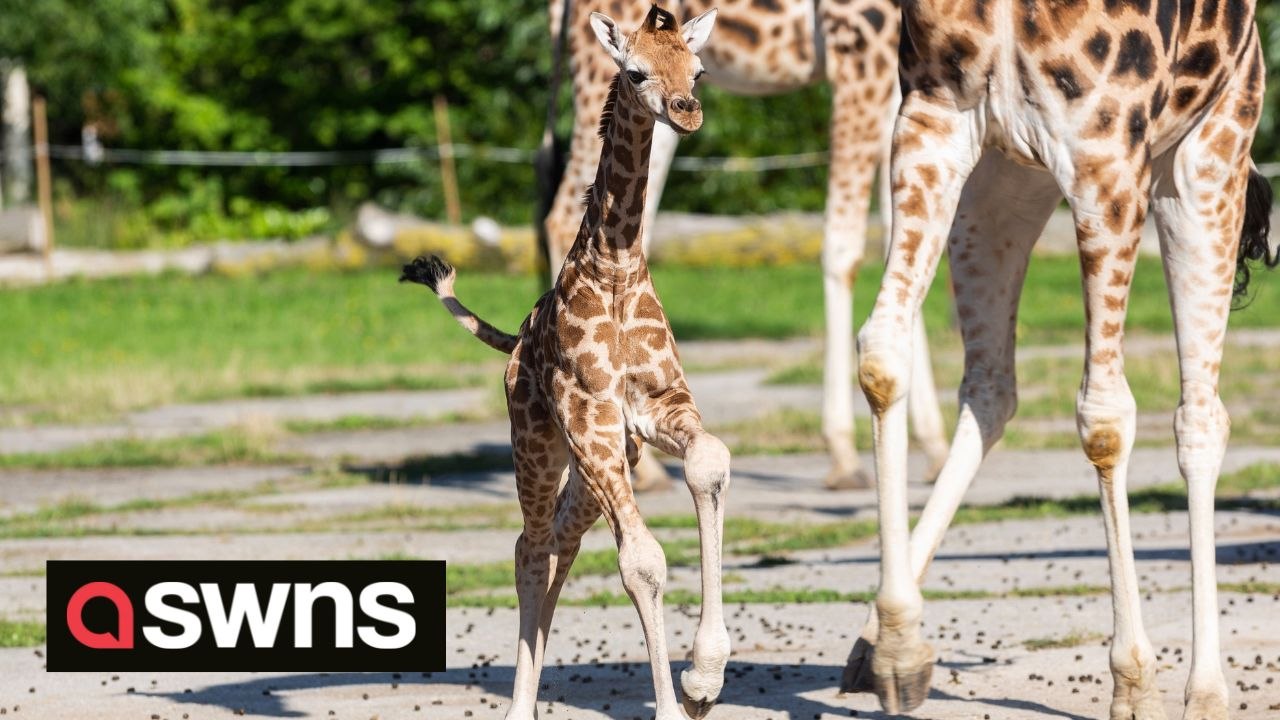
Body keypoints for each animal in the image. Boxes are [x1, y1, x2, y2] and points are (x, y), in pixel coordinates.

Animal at [402, 7, 732, 718]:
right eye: (635, 72)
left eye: (697, 70)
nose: (686, 110)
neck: (616, 267)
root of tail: (515, 343)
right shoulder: (593, 419)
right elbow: (643, 561)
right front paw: (677, 699)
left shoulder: (655, 408)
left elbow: (708, 462)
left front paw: (704, 678)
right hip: (541, 444)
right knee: (530, 548)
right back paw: (518, 707)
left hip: (593, 466)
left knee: (559, 544)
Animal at [540, 0, 952, 490]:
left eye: (699, 73)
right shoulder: (860, 43)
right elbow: (845, 247)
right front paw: (844, 458)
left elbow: (904, 246)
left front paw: (935, 450)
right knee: (564, 214)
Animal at [841, 0, 1275, 717]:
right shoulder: (933, 115)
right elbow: (881, 353)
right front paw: (900, 649)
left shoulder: (1108, 157)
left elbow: (1104, 418)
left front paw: (1134, 682)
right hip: (1005, 182)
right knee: (991, 387)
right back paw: (870, 641)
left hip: (1209, 154)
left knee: (1200, 418)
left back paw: (1208, 693)